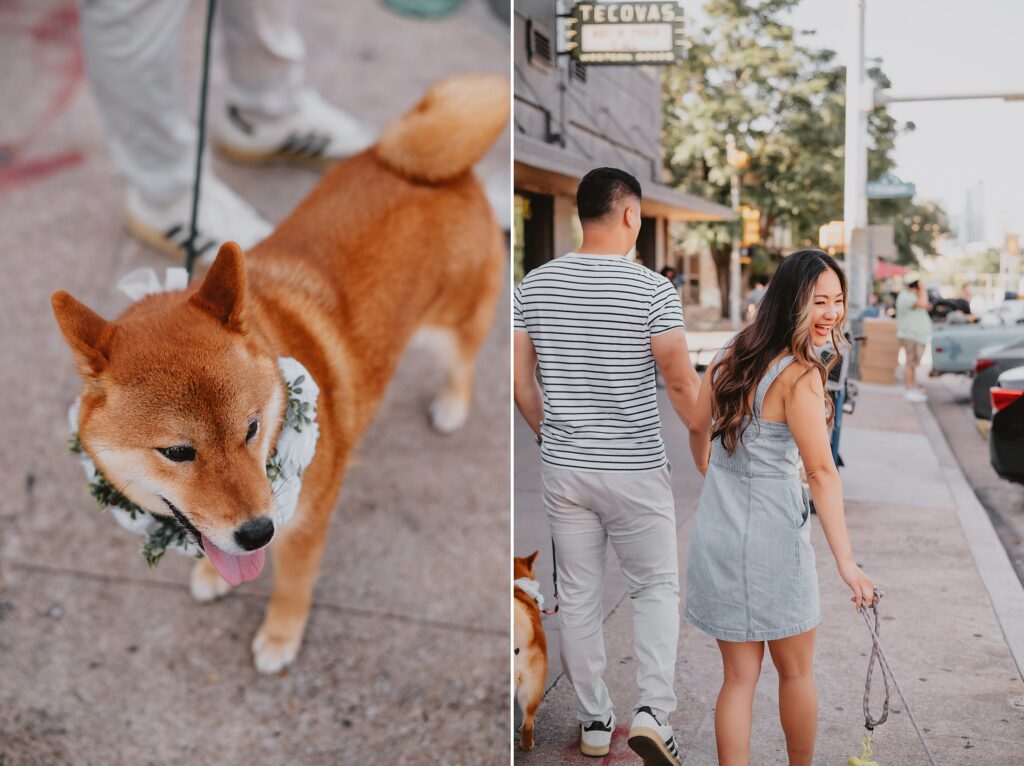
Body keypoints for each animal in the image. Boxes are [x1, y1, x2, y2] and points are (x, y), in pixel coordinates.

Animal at [51, 74, 507, 671]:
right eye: (177, 452)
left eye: (250, 428)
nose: (258, 532)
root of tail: (438, 170)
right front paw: (212, 575)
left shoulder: (307, 523)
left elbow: (292, 585)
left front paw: (280, 636)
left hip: (452, 322)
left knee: (464, 359)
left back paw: (452, 406)